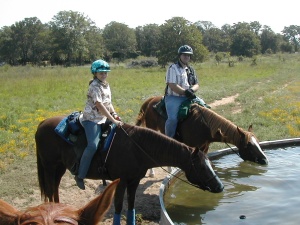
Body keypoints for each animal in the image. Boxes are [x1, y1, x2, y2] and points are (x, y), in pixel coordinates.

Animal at [34, 118, 223, 225]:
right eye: (202, 167)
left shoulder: (134, 180)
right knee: (50, 189)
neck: (137, 147)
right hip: (50, 166)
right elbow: (118, 206)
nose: (220, 186)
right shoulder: (122, 180)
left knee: (54, 189)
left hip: (59, 167)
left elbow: (131, 206)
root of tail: (42, 124)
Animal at [136, 96, 268, 175]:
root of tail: (151, 100)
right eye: (248, 146)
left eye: (258, 142)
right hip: (151, 128)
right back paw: (152, 173)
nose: (265, 160)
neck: (205, 126)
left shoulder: (205, 147)